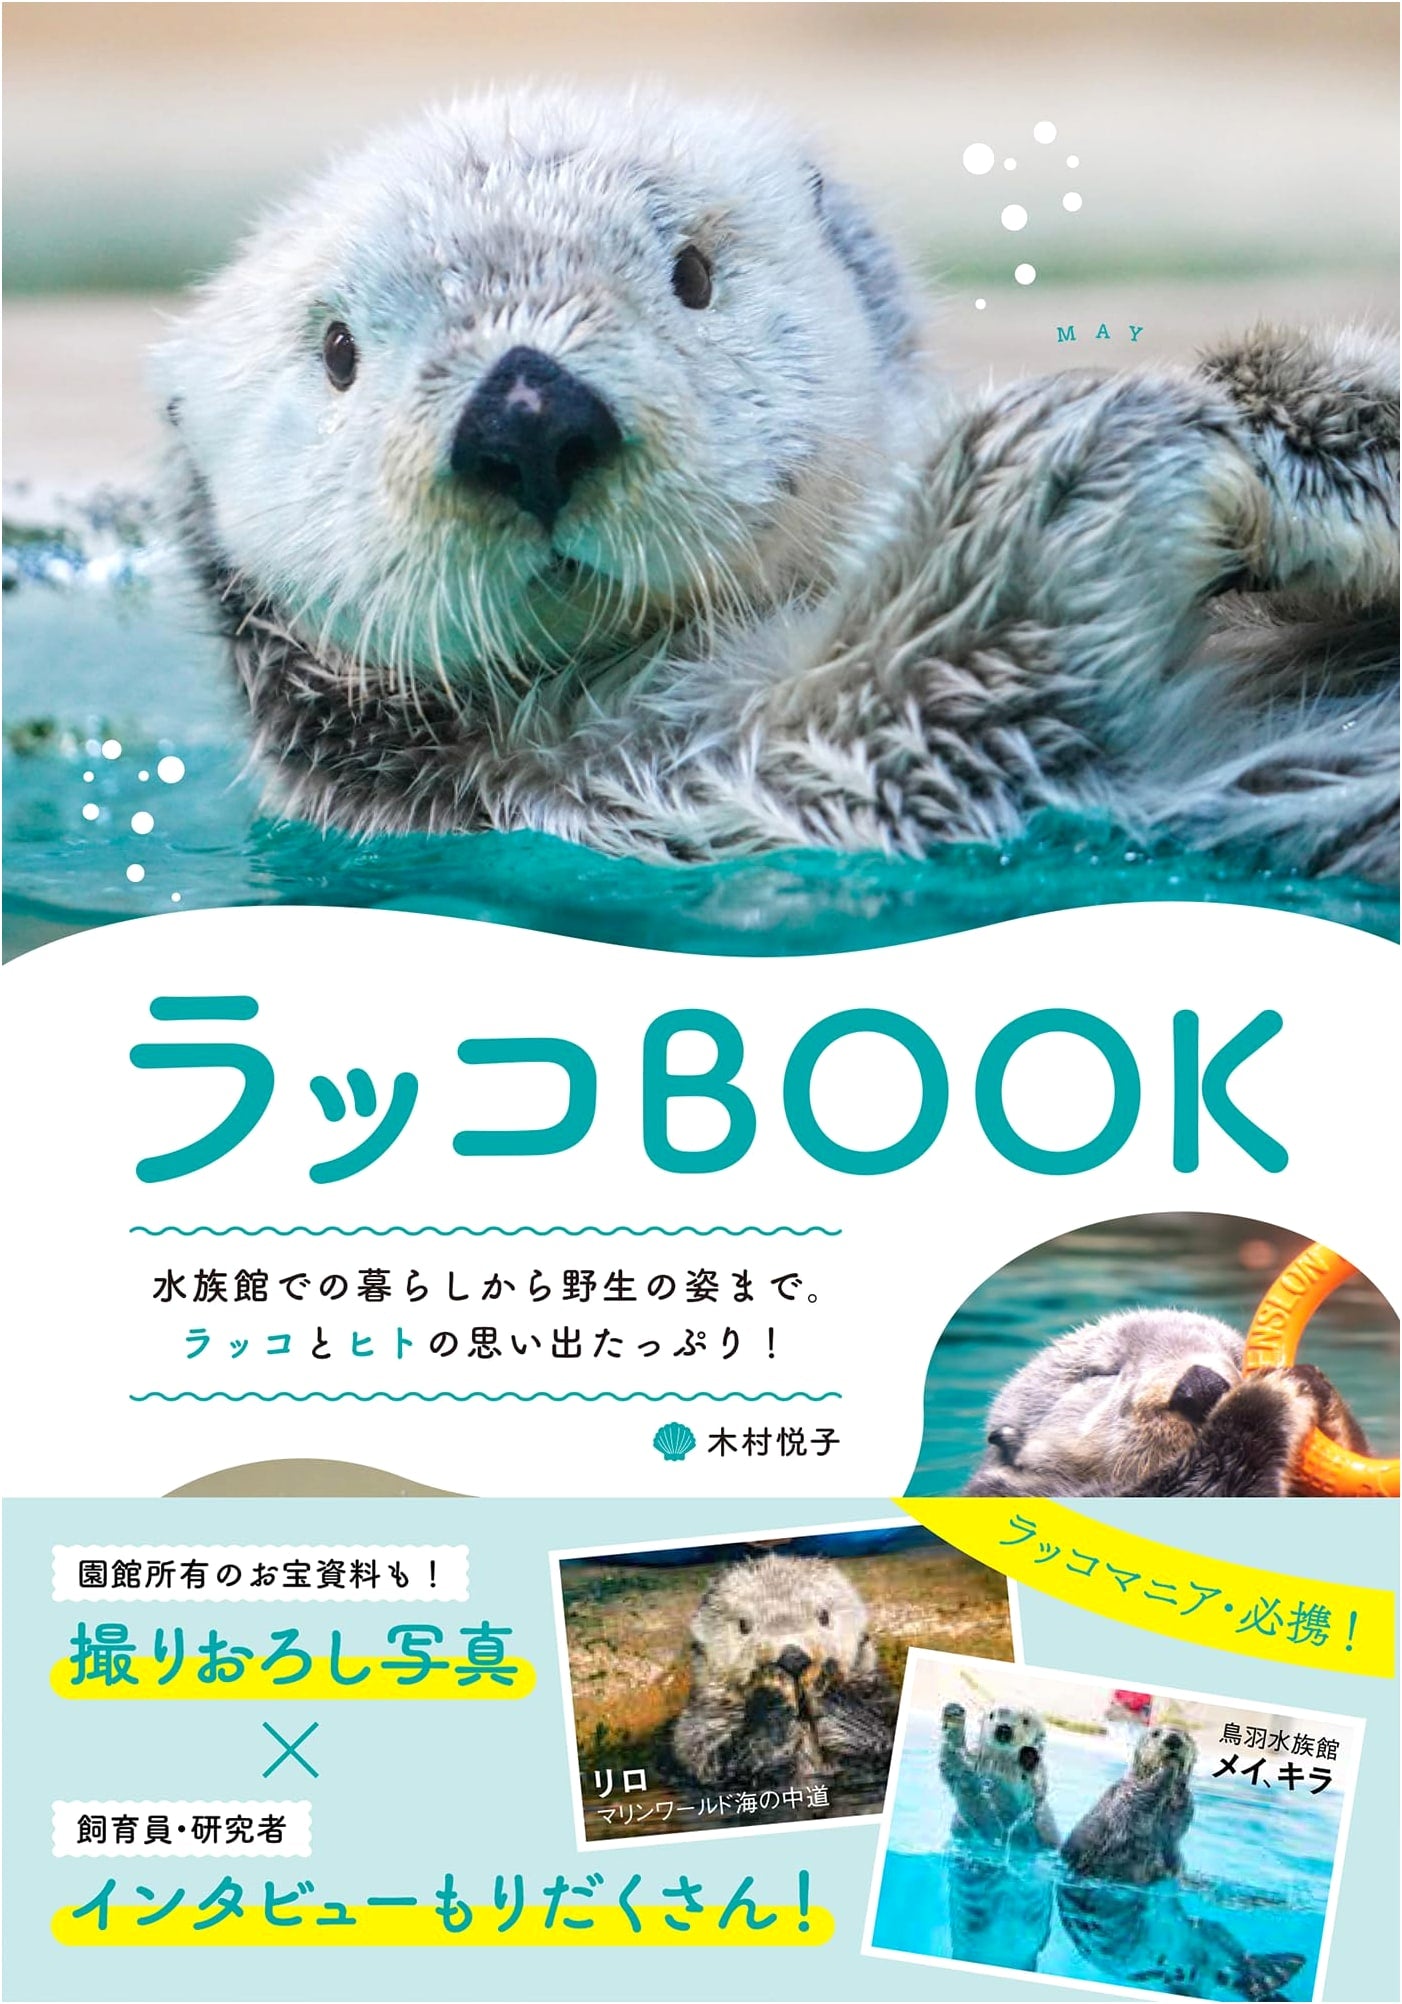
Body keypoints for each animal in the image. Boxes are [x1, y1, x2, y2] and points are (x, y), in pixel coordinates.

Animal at [155, 86, 1398, 877]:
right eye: (338, 351)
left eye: (693, 272)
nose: (528, 419)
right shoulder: (634, 801)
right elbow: (904, 739)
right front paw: (1087, 467)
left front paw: (1295, 426)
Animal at [670, 1552, 896, 1788]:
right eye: (743, 1625)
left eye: (823, 1616)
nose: (792, 1657)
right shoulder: (698, 1729)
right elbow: (724, 1765)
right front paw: (771, 1694)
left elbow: (880, 1736)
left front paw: (826, 1684)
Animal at [939, 1699, 1058, 1972]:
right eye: (993, 1715)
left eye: (1025, 1720)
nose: (1004, 1729)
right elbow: (959, 1773)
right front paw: (954, 1718)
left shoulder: (1037, 1822)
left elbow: (1032, 1800)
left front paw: (1029, 1758)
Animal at [1060, 1726, 1307, 2001]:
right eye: (1156, 1733)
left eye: (1186, 1735)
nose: (1174, 1739)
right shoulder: (1118, 1810)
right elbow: (1137, 1801)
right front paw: (1165, 1773)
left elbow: (1180, 1819)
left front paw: (1179, 1782)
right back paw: (1268, 1977)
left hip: (1208, 1933)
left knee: (1236, 1957)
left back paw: (1269, 1975)